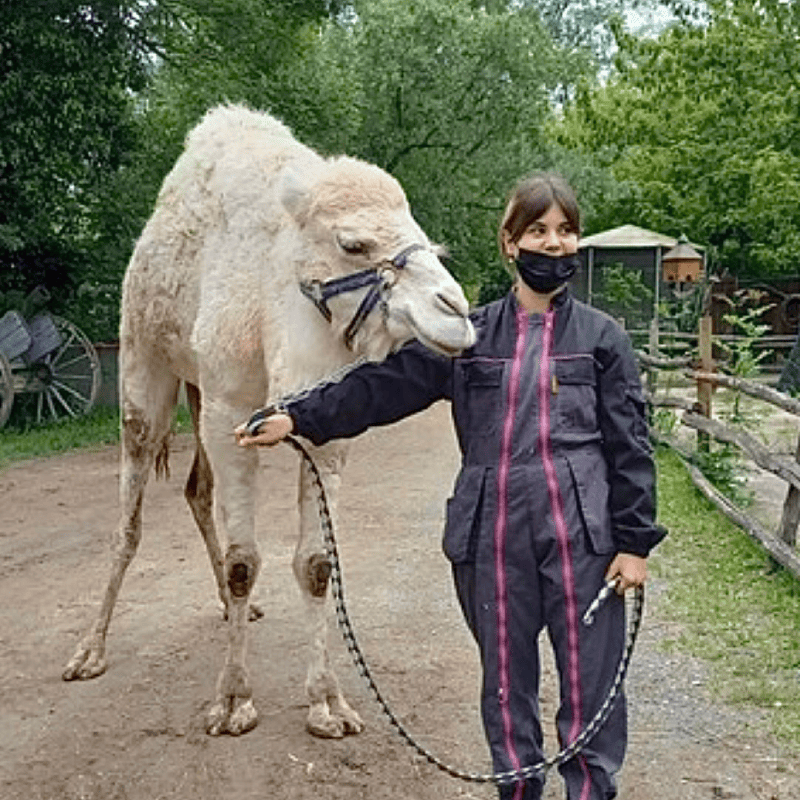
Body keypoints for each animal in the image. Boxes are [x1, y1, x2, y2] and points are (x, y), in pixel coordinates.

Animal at [64, 104, 476, 736]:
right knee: (130, 514)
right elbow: (243, 561)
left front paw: (329, 702)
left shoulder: (323, 427)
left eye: (430, 241)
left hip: (197, 392)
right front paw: (234, 699)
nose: (456, 312)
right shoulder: (231, 412)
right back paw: (90, 649)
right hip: (146, 365)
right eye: (353, 243)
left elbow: (316, 564)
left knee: (196, 489)